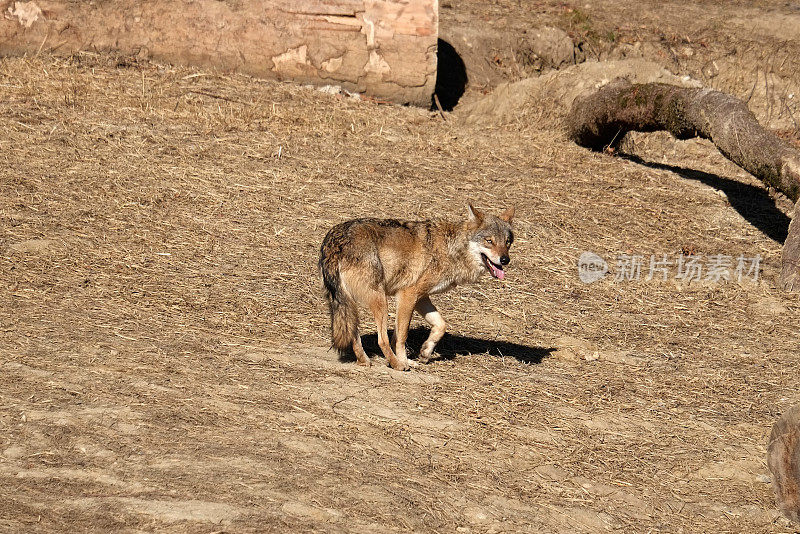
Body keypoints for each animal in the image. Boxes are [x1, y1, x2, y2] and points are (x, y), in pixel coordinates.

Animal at [318, 205, 512, 372]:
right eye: (489, 241)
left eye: (507, 242)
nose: (505, 260)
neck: (451, 248)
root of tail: (333, 240)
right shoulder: (407, 294)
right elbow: (401, 336)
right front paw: (403, 361)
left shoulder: (422, 297)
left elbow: (440, 325)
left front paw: (425, 352)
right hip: (380, 301)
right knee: (381, 339)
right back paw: (396, 364)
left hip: (350, 304)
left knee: (354, 333)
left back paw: (365, 361)